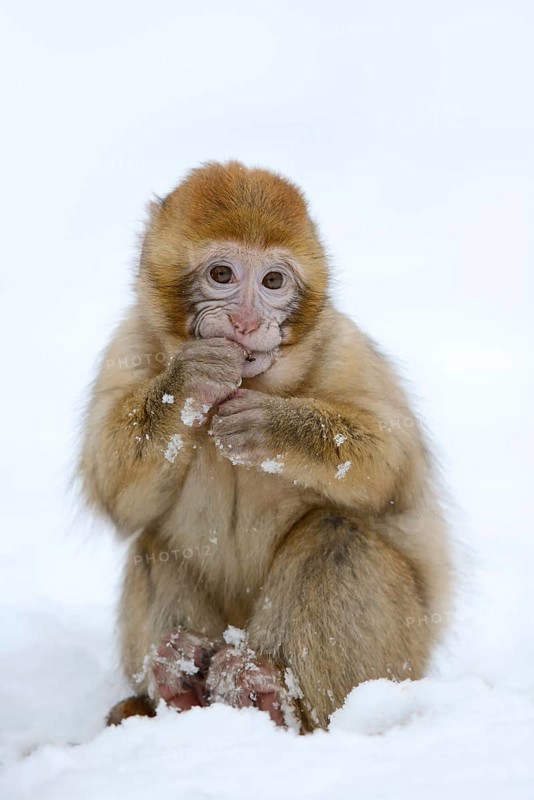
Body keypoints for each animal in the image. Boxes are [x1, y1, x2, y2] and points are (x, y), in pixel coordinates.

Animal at [80, 160, 452, 732]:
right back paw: (178, 684)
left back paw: (269, 694)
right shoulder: (130, 346)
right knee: (153, 544)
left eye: (273, 281)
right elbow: (115, 492)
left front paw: (275, 427)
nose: (248, 322)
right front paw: (190, 380)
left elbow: (393, 467)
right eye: (223, 275)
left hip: (404, 656)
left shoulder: (342, 347)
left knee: (338, 535)